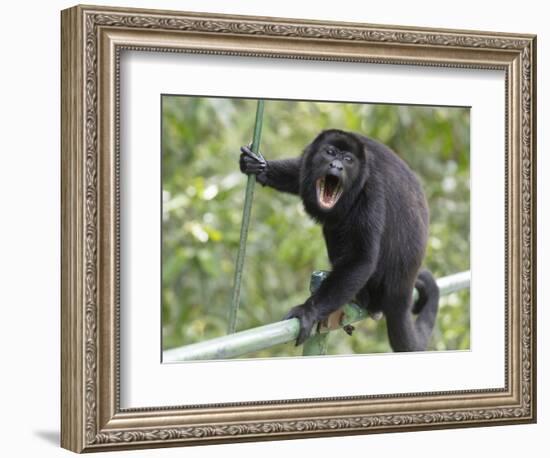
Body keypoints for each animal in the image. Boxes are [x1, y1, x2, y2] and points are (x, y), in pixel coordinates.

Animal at [239, 131, 442, 352]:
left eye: (348, 160)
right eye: (330, 152)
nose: (336, 166)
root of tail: (402, 293)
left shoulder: (371, 189)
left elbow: (361, 259)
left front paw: (308, 311)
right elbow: (298, 172)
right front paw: (260, 166)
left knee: (337, 223)